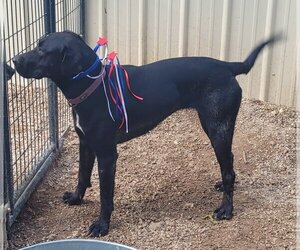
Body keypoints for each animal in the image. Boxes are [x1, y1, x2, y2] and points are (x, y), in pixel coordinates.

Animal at [12, 31, 278, 236]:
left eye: (42, 51)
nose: (13, 60)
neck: (93, 86)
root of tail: (227, 66)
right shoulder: (85, 143)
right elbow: (81, 175)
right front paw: (77, 198)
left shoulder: (107, 155)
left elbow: (105, 196)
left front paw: (102, 225)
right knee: (229, 164)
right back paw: (223, 186)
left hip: (217, 128)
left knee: (229, 168)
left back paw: (226, 210)